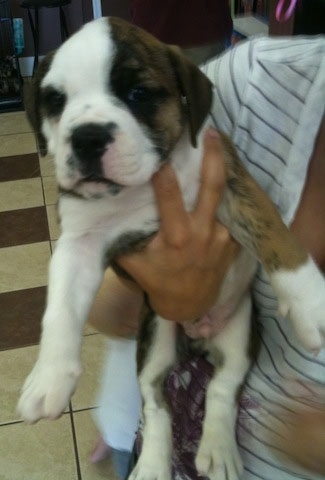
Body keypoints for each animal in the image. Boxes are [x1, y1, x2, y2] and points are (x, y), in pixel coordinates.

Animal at [18, 16, 324, 478]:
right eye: (55, 101)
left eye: (138, 94)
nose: (87, 137)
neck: (141, 185)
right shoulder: (79, 242)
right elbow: (61, 309)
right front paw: (49, 376)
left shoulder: (234, 183)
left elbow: (277, 236)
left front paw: (312, 304)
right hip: (155, 337)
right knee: (156, 402)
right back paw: (153, 465)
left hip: (241, 333)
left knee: (222, 388)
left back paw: (219, 449)